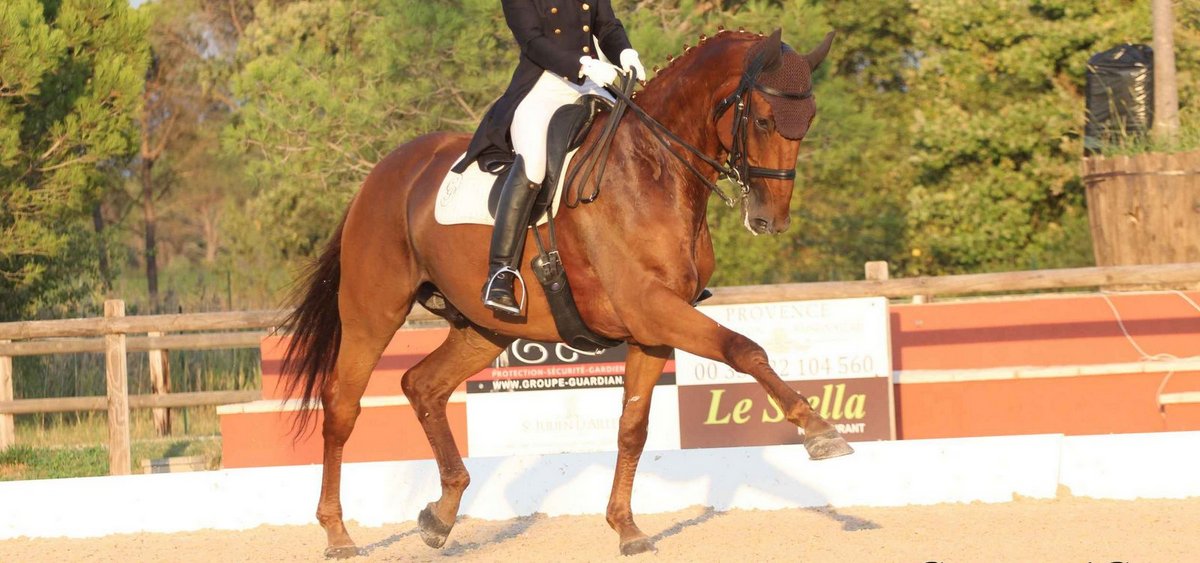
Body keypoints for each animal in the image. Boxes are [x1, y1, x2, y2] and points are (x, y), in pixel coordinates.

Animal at [280, 28, 849, 554]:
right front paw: (820, 430)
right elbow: (744, 350)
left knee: (423, 386)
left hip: (484, 327)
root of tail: (383, 173)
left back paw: (440, 516)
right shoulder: (652, 308)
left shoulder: (651, 329)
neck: (653, 168)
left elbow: (632, 426)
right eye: (764, 120)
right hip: (372, 312)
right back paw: (338, 534)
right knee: (343, 406)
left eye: (808, 122)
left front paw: (626, 528)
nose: (769, 220)